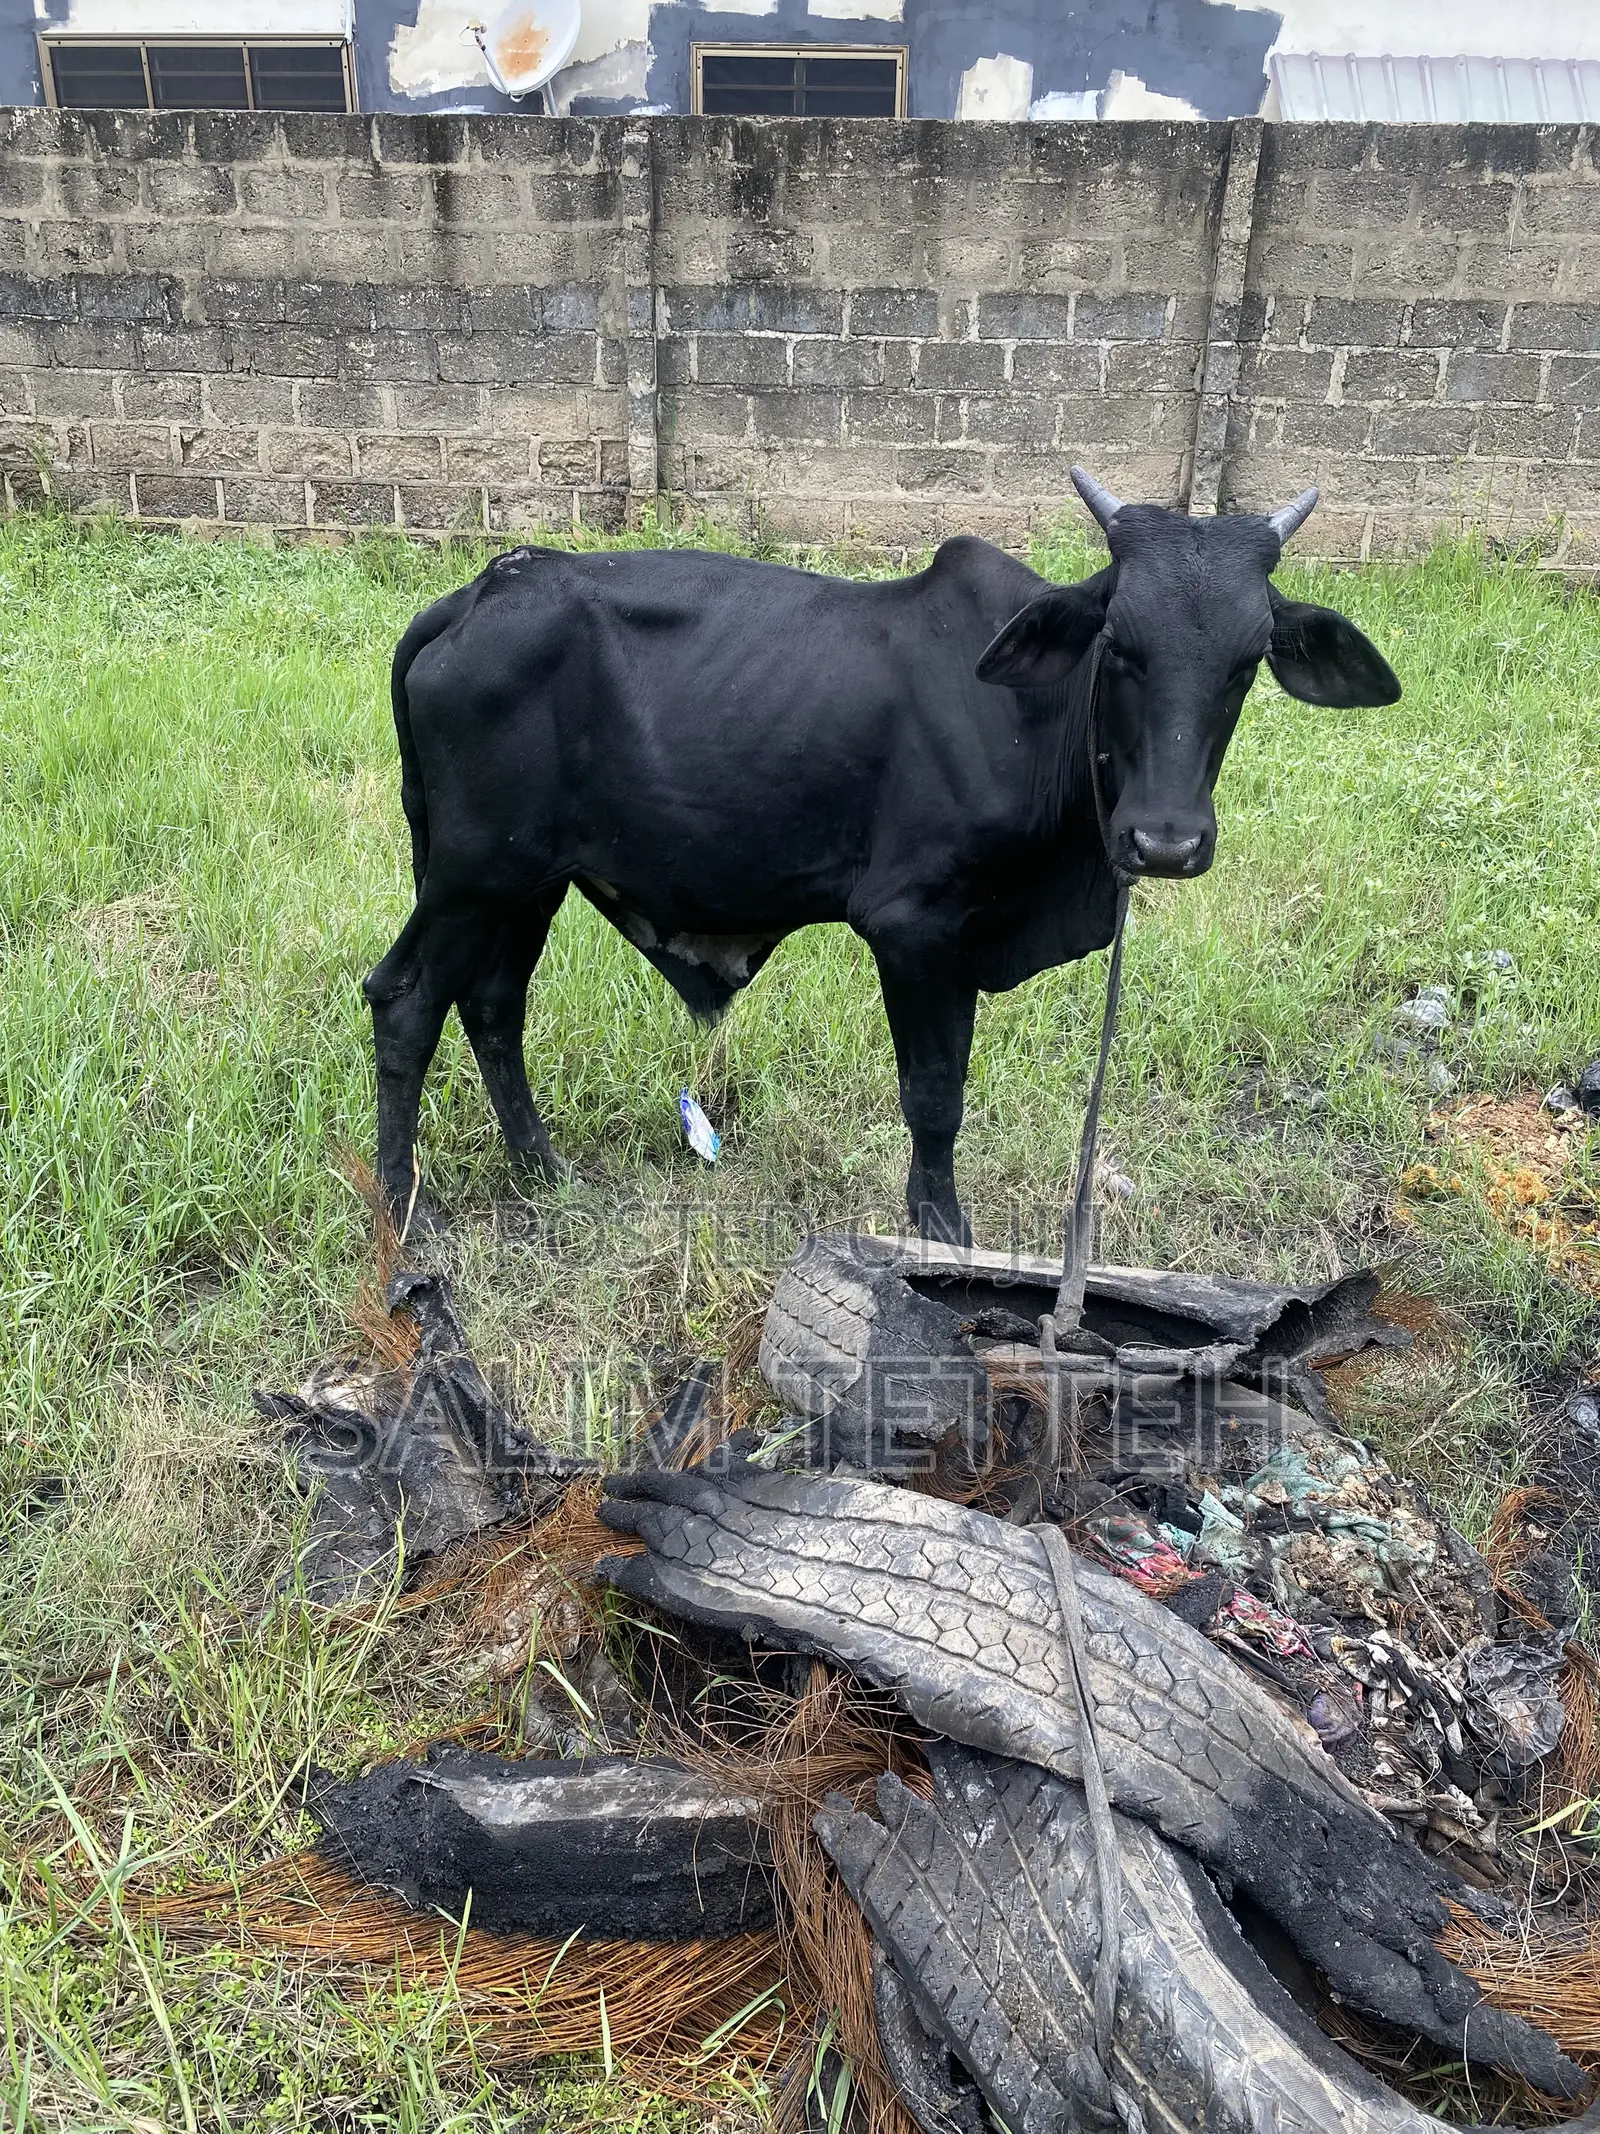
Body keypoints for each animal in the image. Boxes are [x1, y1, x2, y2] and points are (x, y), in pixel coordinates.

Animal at [365, 471, 1400, 1242]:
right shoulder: (913, 925)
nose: (1167, 840)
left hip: (526, 884)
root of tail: (476, 593)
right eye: (1118, 642)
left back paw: (544, 1172)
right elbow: (934, 1095)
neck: (1041, 723)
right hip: (472, 878)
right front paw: (942, 1231)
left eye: (1250, 656)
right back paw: (406, 1212)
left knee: (492, 1008)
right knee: (405, 1001)